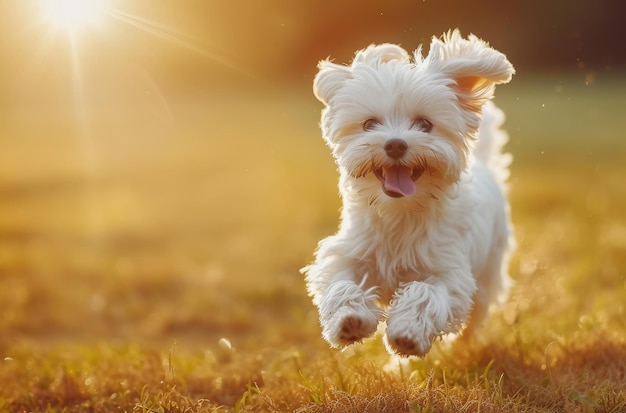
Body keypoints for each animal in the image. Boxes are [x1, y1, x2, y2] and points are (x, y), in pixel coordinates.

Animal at [302, 30, 512, 356]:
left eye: (424, 123)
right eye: (369, 123)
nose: (395, 144)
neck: (399, 213)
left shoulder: (448, 271)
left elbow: (425, 292)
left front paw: (406, 333)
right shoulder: (348, 253)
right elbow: (341, 281)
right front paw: (350, 319)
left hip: (489, 269)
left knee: (476, 313)